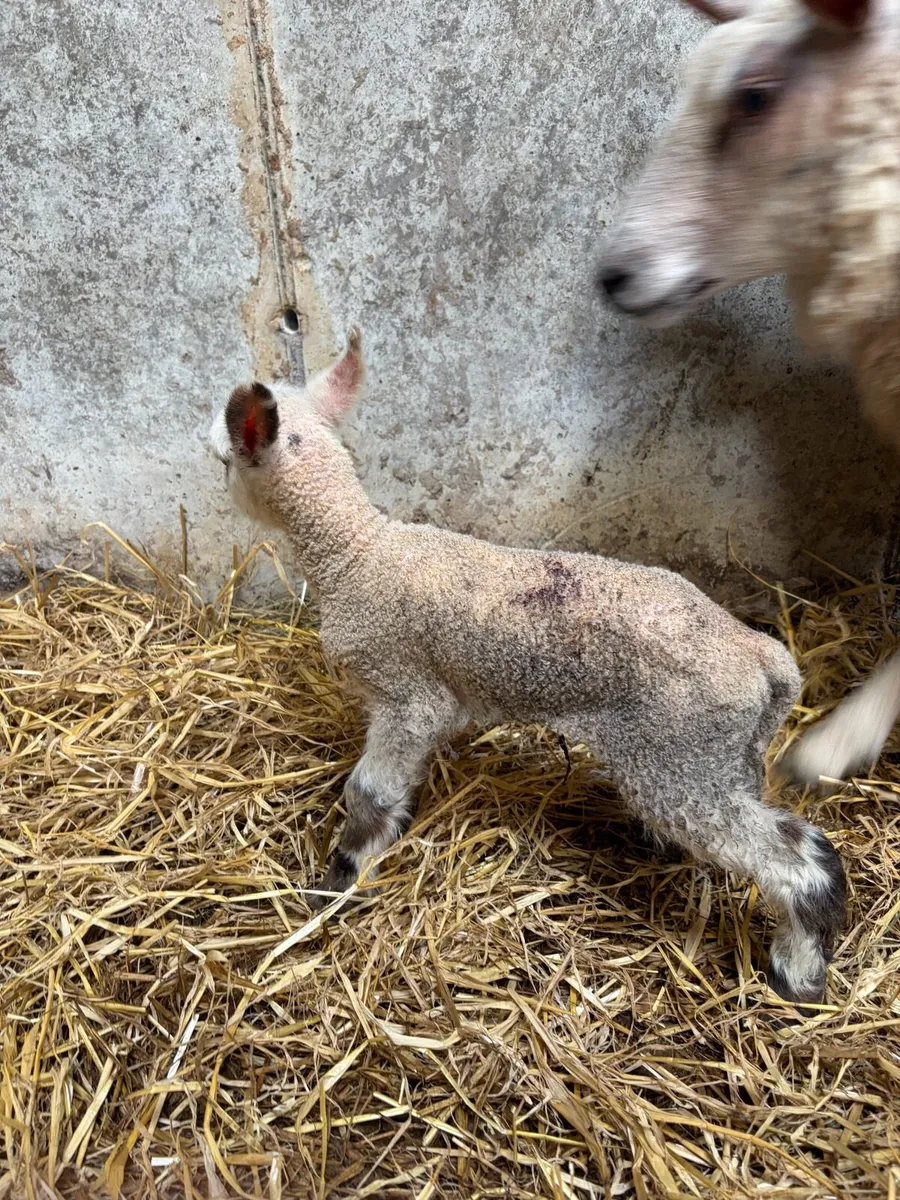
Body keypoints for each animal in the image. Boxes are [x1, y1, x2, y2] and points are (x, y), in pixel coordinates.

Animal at [209, 327, 846, 1005]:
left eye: (223, 460)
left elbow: (368, 792)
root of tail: (763, 655)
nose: (218, 487)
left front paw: (338, 878)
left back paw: (797, 971)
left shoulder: (404, 692)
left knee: (793, 859)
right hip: (724, 754)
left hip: (677, 755)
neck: (356, 552)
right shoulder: (434, 701)